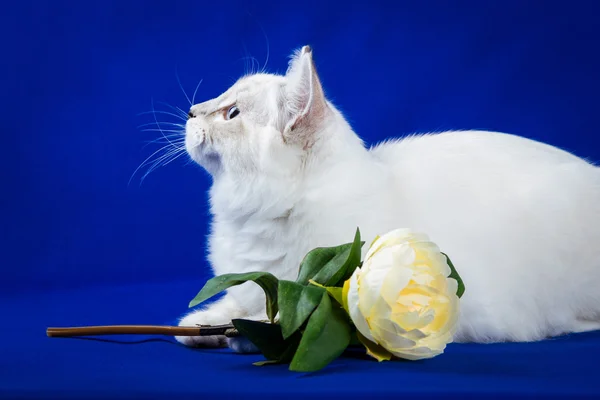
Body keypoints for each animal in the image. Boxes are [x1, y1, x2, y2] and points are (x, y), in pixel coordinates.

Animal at [176, 44, 600, 350]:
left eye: (231, 113)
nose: (191, 111)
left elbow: (279, 319)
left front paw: (248, 332)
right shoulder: (249, 282)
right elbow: (231, 304)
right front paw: (201, 327)